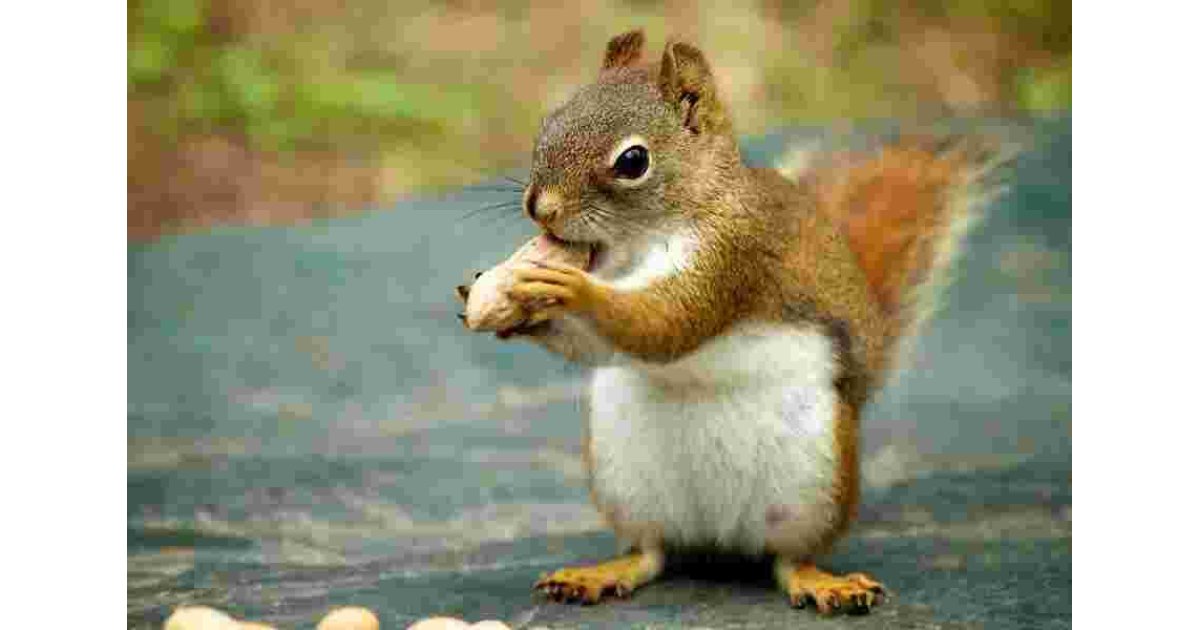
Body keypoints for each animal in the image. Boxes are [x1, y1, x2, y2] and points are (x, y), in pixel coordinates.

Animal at [456, 30, 999, 615]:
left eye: (633, 161)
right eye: (550, 122)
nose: (540, 208)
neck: (643, 240)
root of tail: (718, 537)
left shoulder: (731, 259)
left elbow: (667, 324)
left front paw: (571, 290)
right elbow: (600, 347)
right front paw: (501, 303)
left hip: (816, 483)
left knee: (789, 559)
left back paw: (822, 581)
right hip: (626, 480)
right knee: (651, 552)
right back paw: (599, 573)